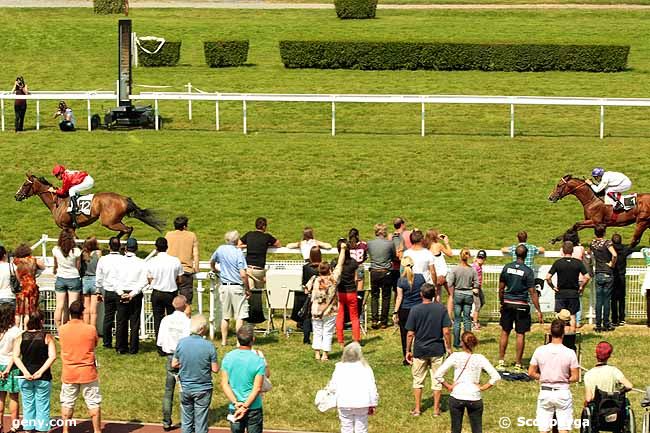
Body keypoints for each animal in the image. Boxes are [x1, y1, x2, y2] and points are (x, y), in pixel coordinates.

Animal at [15, 173, 165, 240]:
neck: (57, 202)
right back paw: (116, 240)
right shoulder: (70, 228)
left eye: (25, 184)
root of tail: (124, 199)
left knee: (129, 229)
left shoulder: (66, 227)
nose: (16, 196)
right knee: (127, 229)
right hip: (115, 221)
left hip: (109, 222)